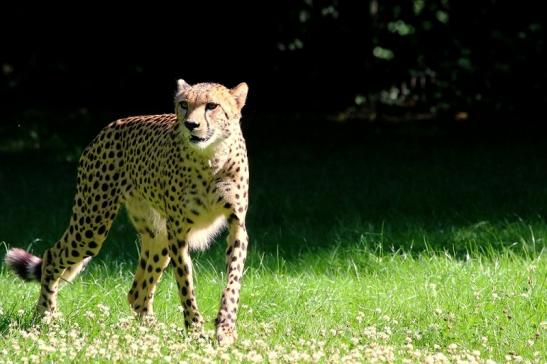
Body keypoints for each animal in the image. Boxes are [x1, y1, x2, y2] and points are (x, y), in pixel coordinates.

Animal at [4, 79, 252, 346]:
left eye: (212, 106)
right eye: (184, 104)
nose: (190, 125)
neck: (210, 158)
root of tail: (114, 125)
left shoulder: (237, 226)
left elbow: (232, 282)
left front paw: (225, 328)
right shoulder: (178, 232)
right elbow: (186, 285)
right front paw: (195, 330)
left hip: (157, 236)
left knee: (137, 292)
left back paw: (151, 331)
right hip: (92, 225)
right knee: (52, 256)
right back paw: (45, 316)